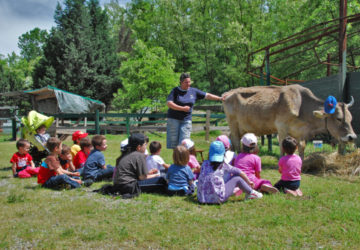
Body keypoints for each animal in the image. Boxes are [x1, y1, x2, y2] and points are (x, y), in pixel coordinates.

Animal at [224, 84, 356, 158]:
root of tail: (228, 93)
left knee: (231, 138)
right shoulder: (281, 127)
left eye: (351, 118)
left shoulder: (300, 132)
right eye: (339, 118)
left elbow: (301, 147)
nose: (352, 137)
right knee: (235, 140)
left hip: (240, 127)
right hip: (233, 123)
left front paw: (302, 161)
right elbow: (282, 145)